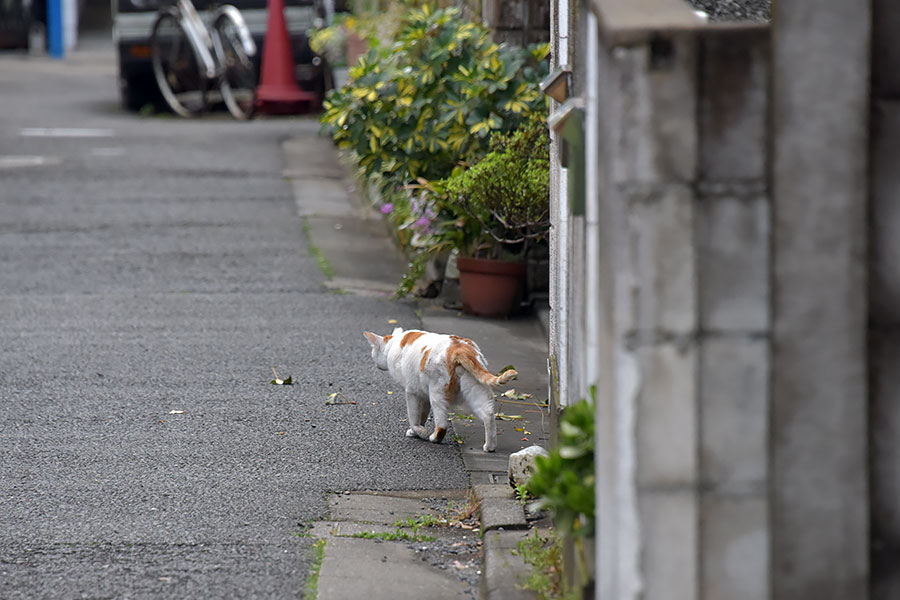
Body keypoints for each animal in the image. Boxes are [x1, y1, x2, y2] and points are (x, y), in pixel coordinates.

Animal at [366, 328, 516, 450]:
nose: (376, 365)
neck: (394, 344)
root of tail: (460, 348)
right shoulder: (424, 395)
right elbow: (422, 416)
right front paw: (416, 432)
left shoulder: (412, 392)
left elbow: (413, 418)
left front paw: (420, 432)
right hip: (475, 391)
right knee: (489, 415)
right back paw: (490, 446)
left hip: (437, 393)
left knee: (442, 425)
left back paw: (434, 438)